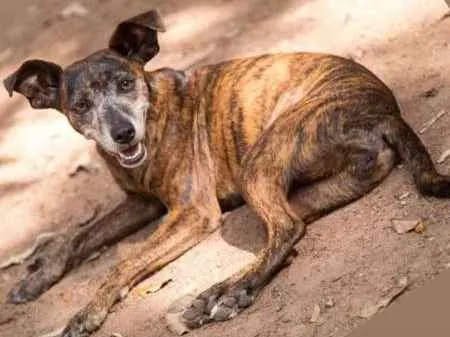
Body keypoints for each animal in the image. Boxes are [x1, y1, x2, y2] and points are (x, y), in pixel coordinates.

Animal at [4, 9, 450, 334]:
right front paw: (36, 278)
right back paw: (214, 294)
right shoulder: (140, 203)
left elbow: (123, 263)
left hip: (262, 158)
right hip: (307, 187)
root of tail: (385, 110)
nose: (123, 133)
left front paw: (87, 311)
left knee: (286, 230)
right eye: (80, 106)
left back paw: (233, 294)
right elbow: (77, 239)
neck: (154, 114)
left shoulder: (192, 213)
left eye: (125, 83)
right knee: (290, 231)